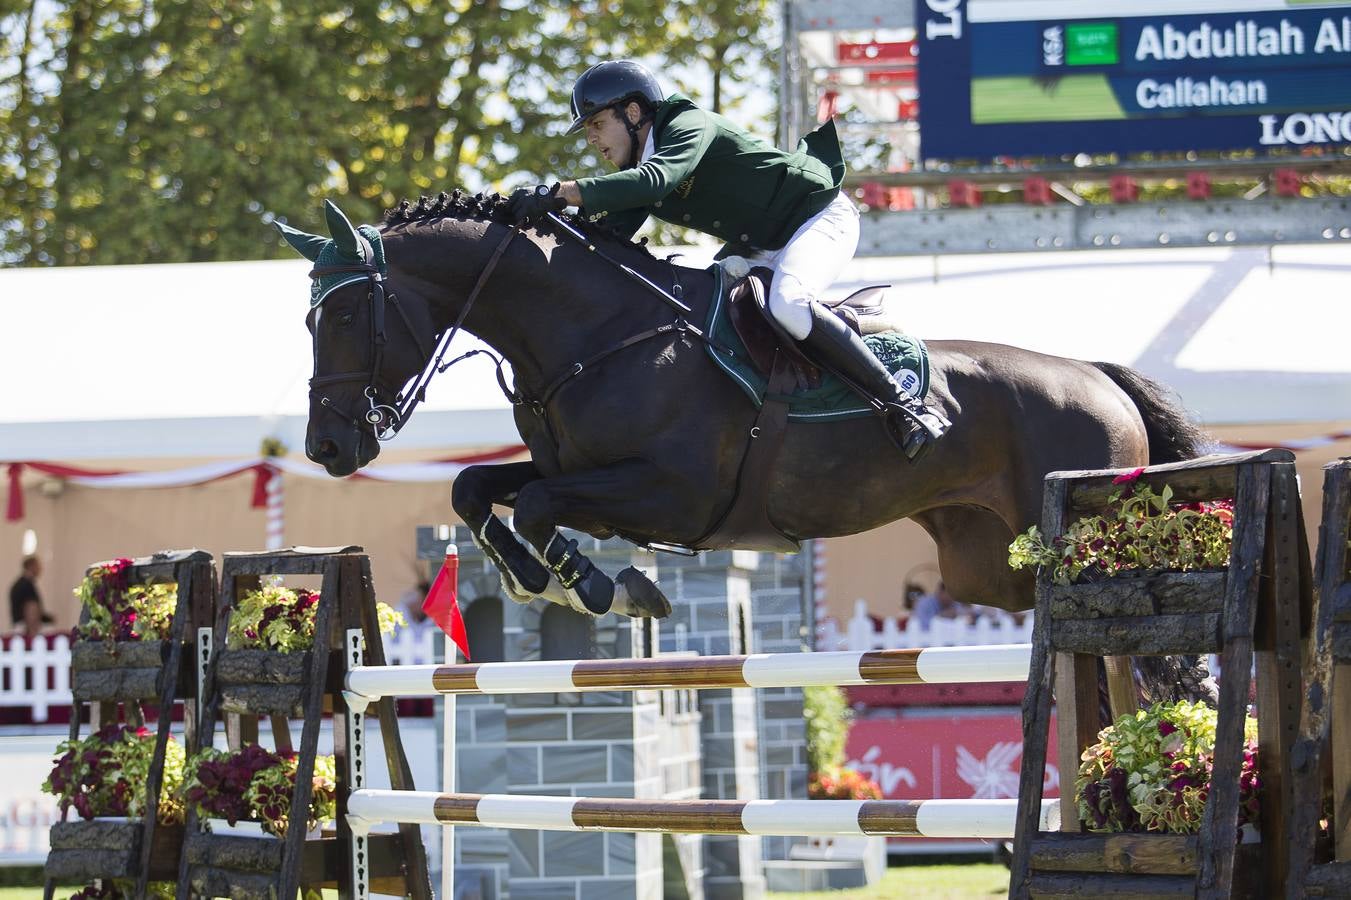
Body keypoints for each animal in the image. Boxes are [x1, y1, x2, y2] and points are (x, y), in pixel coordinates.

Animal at [279, 187, 1210, 627]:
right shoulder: (579, 473)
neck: (599, 332)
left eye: (349, 315)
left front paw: (598, 586)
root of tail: (1097, 375)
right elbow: (476, 488)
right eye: (307, 319)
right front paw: (535, 578)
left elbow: (538, 505)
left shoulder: (670, 492)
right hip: (986, 566)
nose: (326, 448)